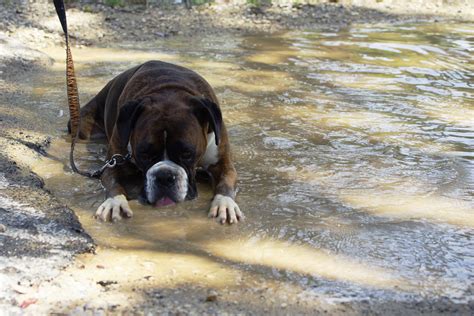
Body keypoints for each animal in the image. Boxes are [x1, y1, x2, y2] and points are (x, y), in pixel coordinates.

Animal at [76, 61, 244, 225]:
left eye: (187, 154)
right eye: (144, 154)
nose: (164, 176)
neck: (168, 92)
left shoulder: (222, 164)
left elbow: (226, 182)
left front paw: (224, 203)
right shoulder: (113, 164)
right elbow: (112, 183)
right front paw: (114, 202)